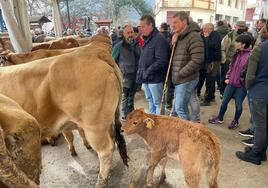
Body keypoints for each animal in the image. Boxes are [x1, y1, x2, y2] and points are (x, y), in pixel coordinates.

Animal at [0, 34, 127, 187]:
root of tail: (95, 54)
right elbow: (70, 135)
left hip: (95, 127)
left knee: (106, 150)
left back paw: (101, 181)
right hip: (108, 120)